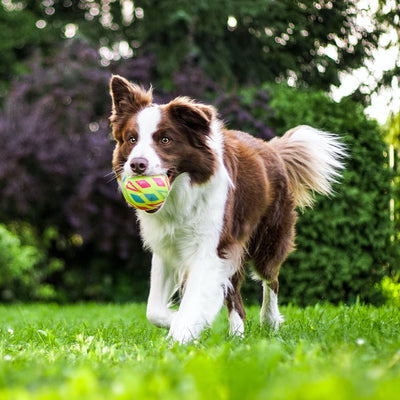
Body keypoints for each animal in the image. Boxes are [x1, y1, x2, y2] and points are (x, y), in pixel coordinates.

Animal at [108, 75, 346, 344]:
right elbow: (154, 310)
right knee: (235, 297)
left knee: (271, 279)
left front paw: (181, 334)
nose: (137, 164)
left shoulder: (211, 247)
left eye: (165, 140)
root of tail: (272, 148)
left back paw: (269, 321)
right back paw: (237, 335)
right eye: (132, 139)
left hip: (268, 239)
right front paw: (180, 321)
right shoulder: (168, 247)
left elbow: (193, 300)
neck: (181, 195)